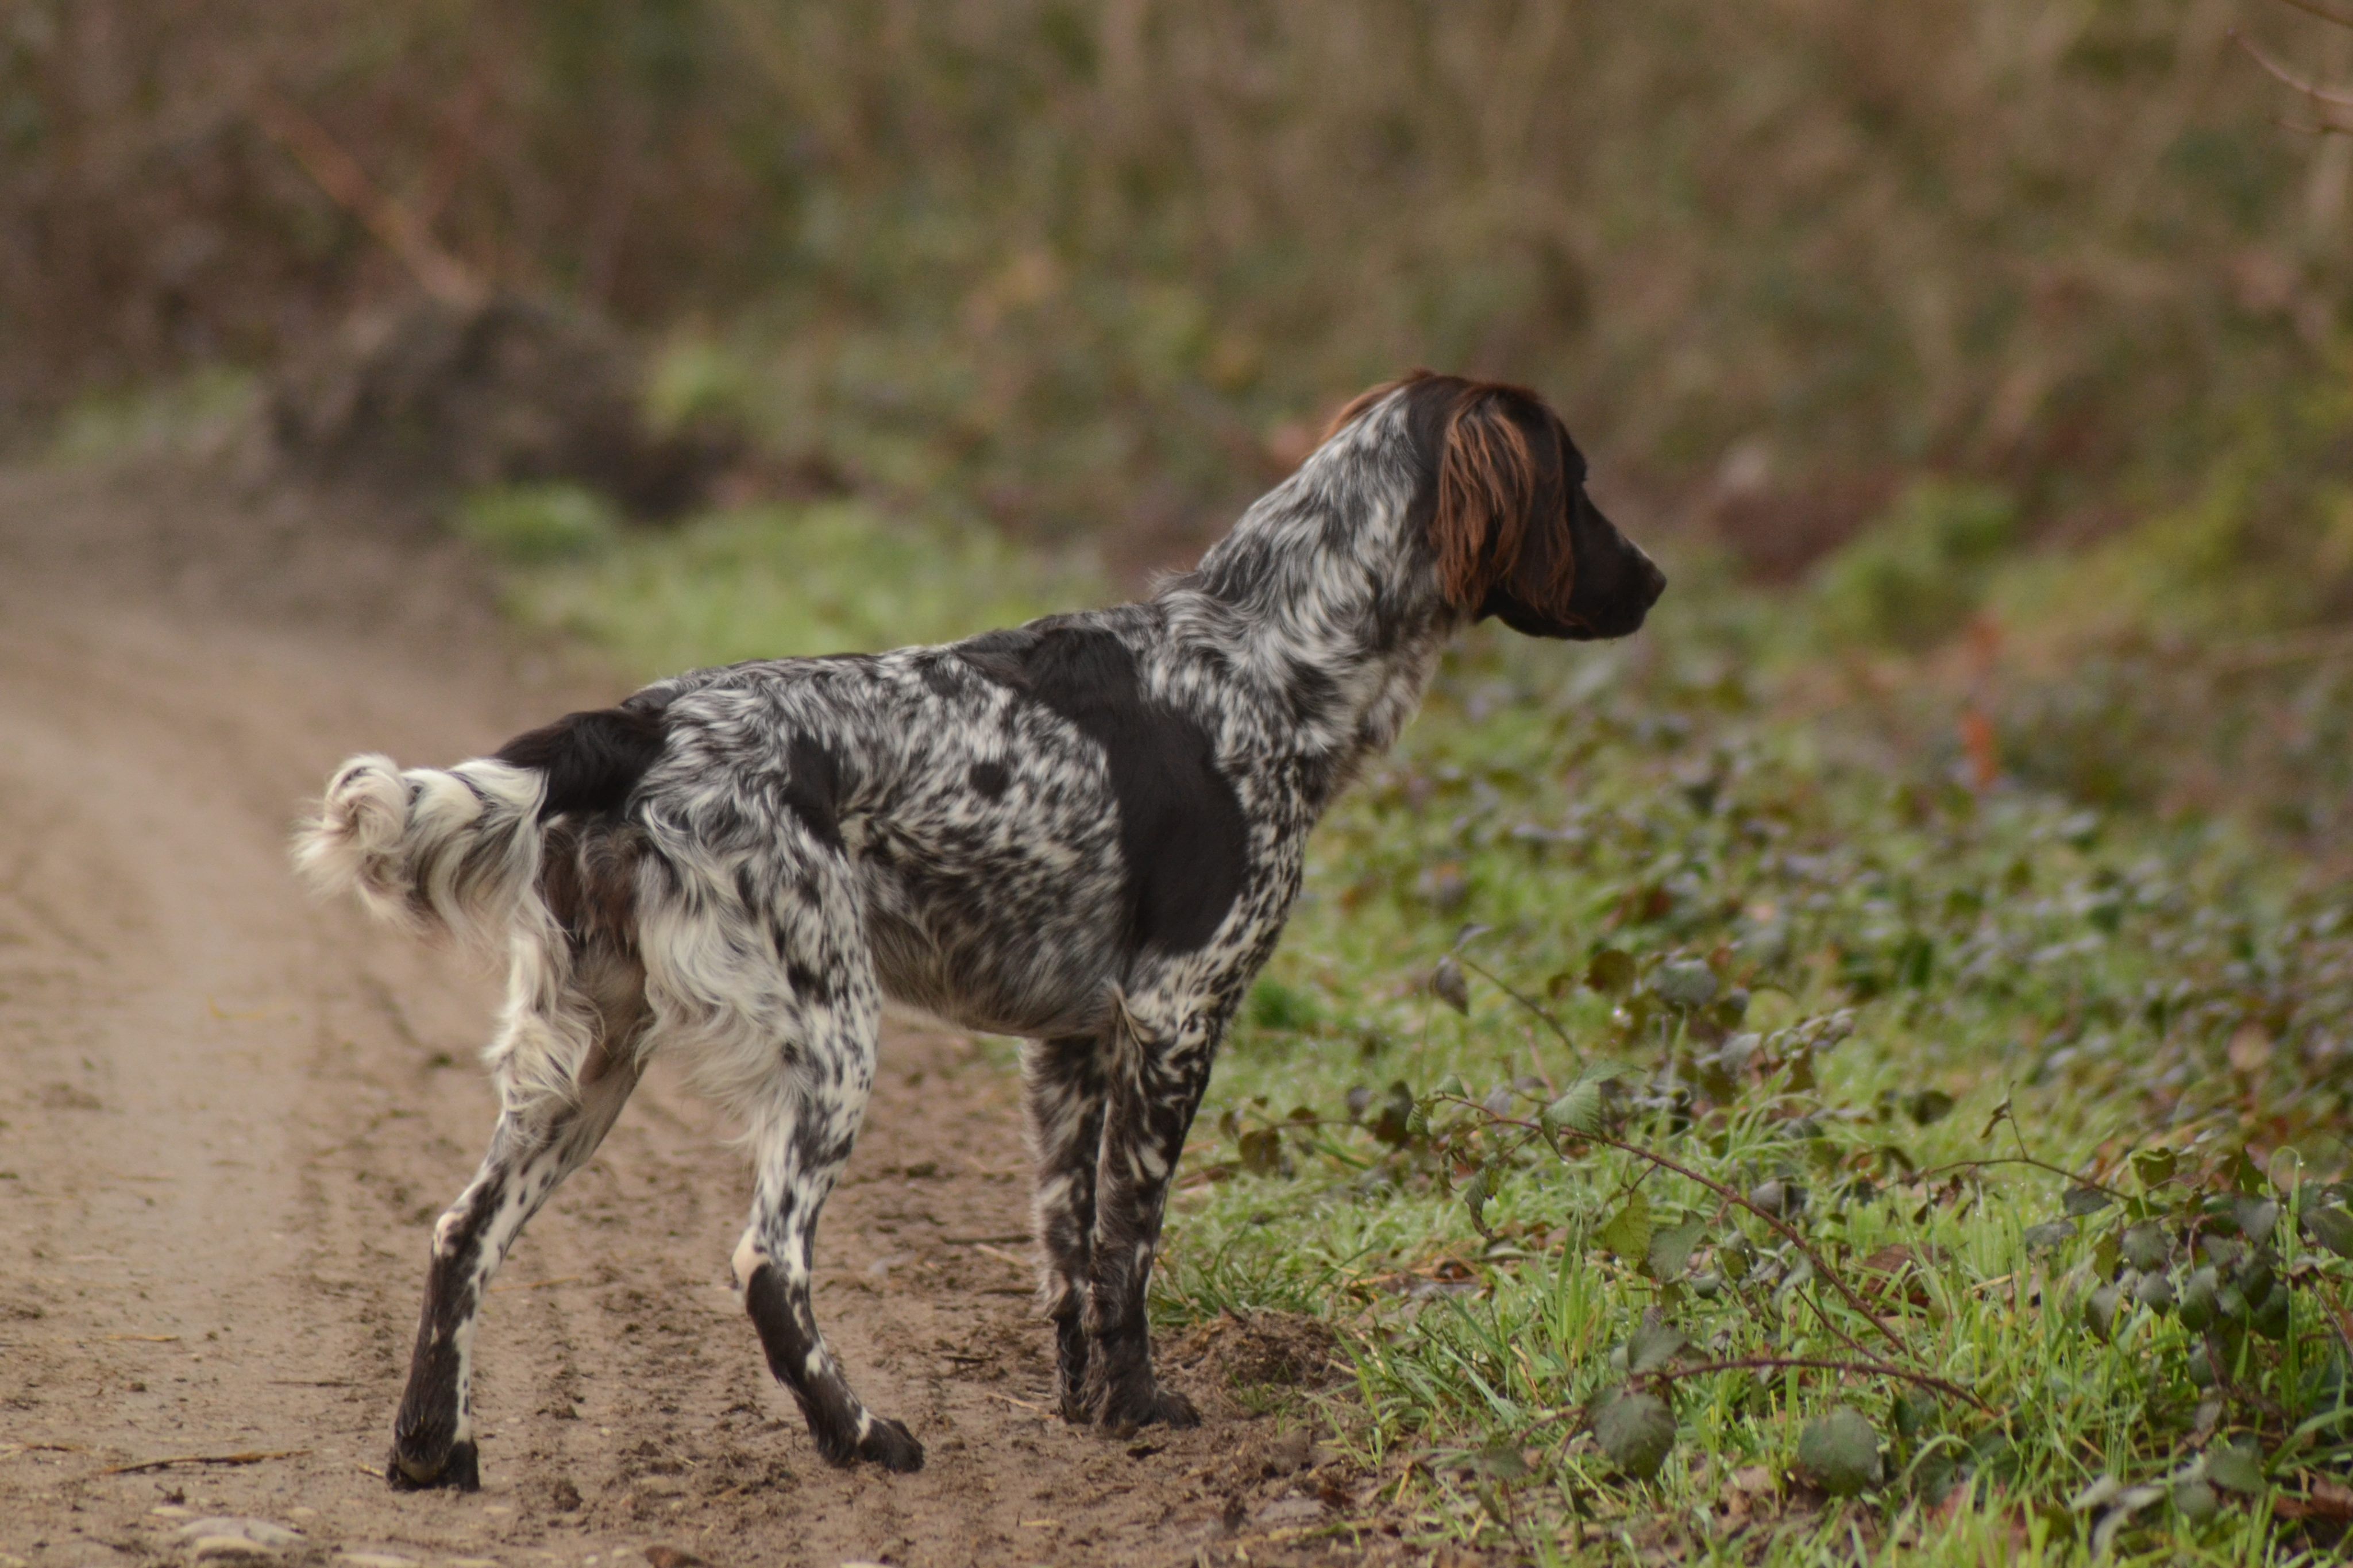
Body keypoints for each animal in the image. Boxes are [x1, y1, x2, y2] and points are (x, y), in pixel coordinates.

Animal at [294, 373, 1665, 1495]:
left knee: (459, 1234)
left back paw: (430, 1449)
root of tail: (637, 726)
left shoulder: (1070, 1046)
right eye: (1579, 481)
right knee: (766, 1263)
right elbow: (1130, 1248)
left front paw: (1082, 1411)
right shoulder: (1177, 1016)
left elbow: (1068, 1251)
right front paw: (1141, 1411)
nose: (1656, 581)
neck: (1270, 653)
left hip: (590, 1057)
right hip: (827, 1038)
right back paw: (860, 1437)